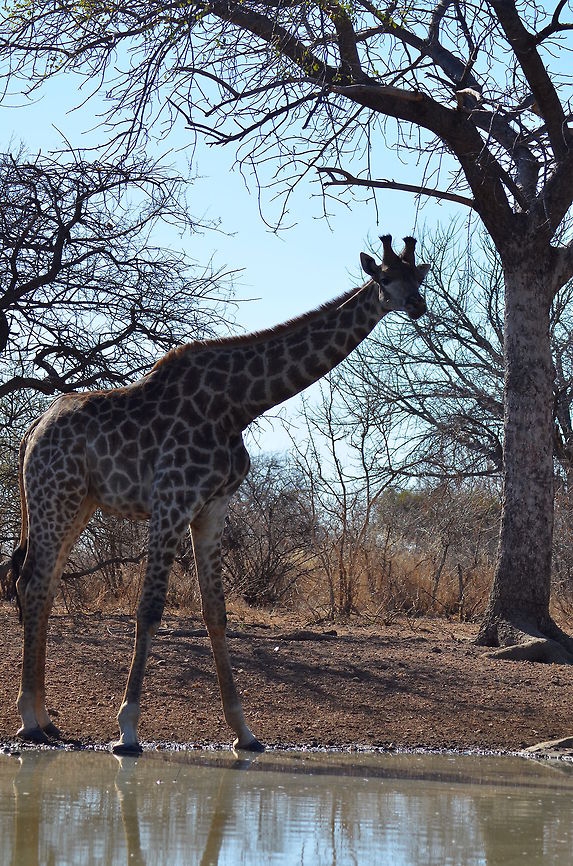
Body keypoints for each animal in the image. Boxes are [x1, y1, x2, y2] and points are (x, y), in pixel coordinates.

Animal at [11, 235, 429, 754]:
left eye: (418, 276)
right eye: (386, 278)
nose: (418, 305)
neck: (238, 405)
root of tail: (32, 429)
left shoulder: (211, 509)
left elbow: (216, 613)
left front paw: (244, 731)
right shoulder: (172, 501)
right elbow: (149, 610)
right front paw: (127, 728)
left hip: (78, 503)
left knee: (43, 586)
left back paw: (45, 718)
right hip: (55, 497)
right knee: (32, 584)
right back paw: (29, 719)